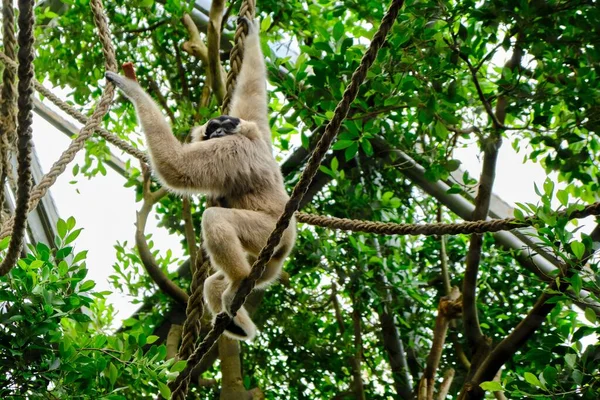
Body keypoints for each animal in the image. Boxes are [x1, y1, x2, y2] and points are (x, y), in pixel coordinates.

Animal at [108, 17, 298, 340]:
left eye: (225, 125)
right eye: (214, 127)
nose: (218, 130)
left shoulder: (231, 148)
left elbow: (176, 167)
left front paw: (130, 87)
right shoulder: (255, 129)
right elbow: (253, 92)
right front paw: (252, 34)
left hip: (269, 232)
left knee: (215, 219)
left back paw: (237, 282)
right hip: (267, 263)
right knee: (213, 282)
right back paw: (238, 322)